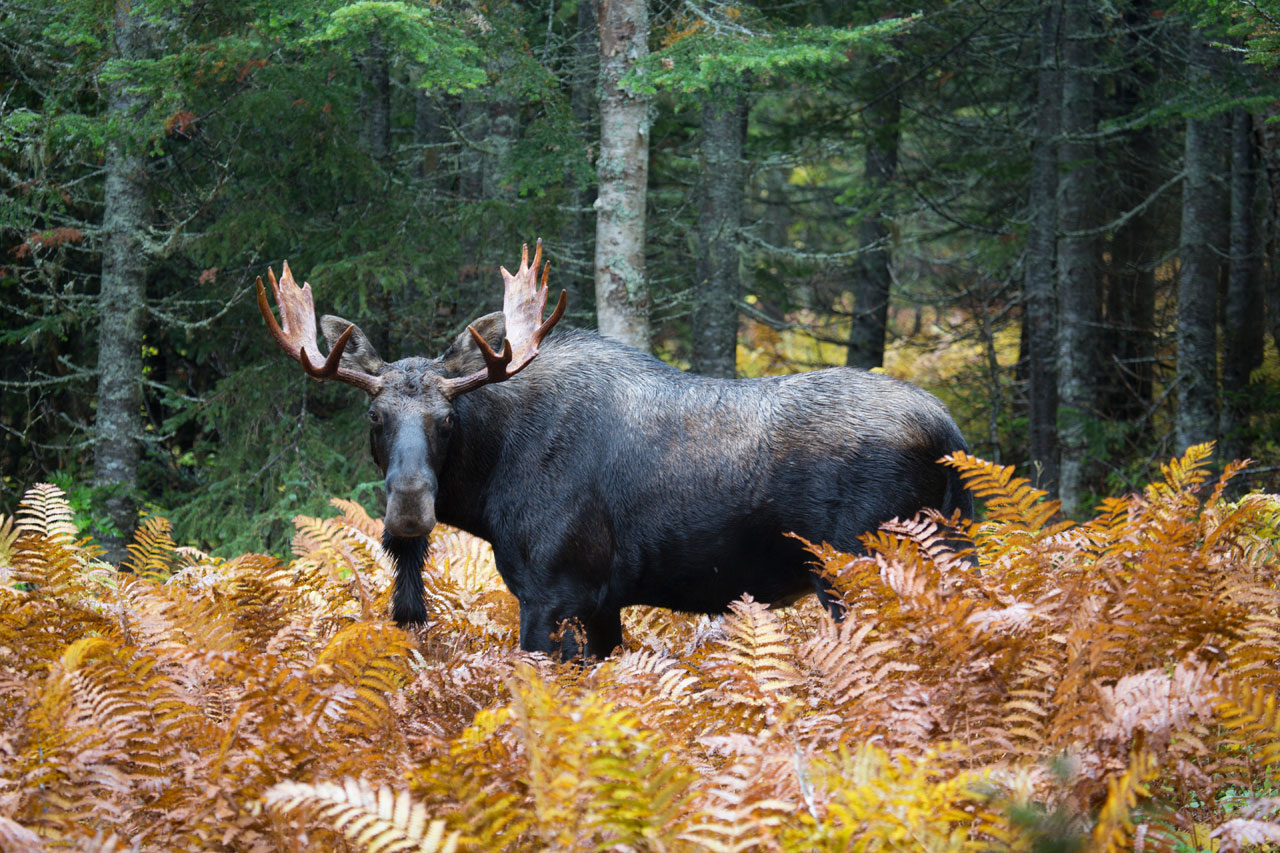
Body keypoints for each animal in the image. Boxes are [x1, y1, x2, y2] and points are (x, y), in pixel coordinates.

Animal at [257, 239, 967, 655]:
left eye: (447, 419)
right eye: (375, 415)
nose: (408, 508)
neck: (488, 493)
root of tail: (950, 434)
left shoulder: (555, 592)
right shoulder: (602, 605)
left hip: (865, 568)